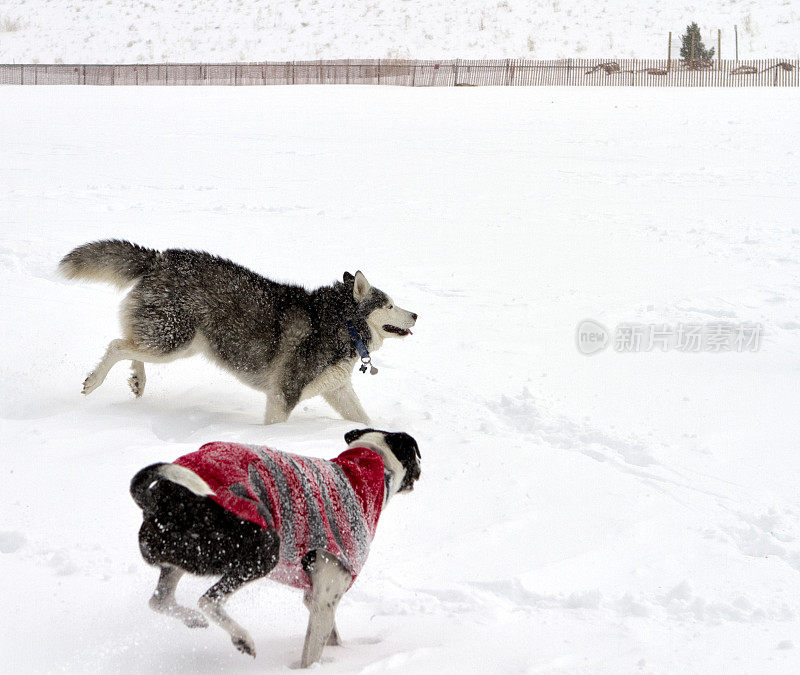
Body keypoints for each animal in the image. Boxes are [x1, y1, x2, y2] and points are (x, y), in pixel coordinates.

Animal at [57, 240, 418, 426]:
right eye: (389, 305)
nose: (416, 314)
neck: (343, 323)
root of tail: (161, 257)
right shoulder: (283, 395)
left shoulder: (338, 390)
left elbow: (365, 421)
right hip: (174, 341)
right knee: (117, 345)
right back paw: (95, 381)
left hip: (178, 343)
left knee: (131, 345)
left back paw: (138, 379)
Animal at [128, 430, 422, 668]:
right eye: (415, 454)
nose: (421, 469)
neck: (365, 469)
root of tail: (162, 499)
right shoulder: (324, 599)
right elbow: (311, 653)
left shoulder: (317, 598)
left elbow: (331, 638)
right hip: (263, 550)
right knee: (208, 600)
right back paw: (241, 637)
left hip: (180, 557)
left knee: (160, 600)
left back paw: (192, 619)